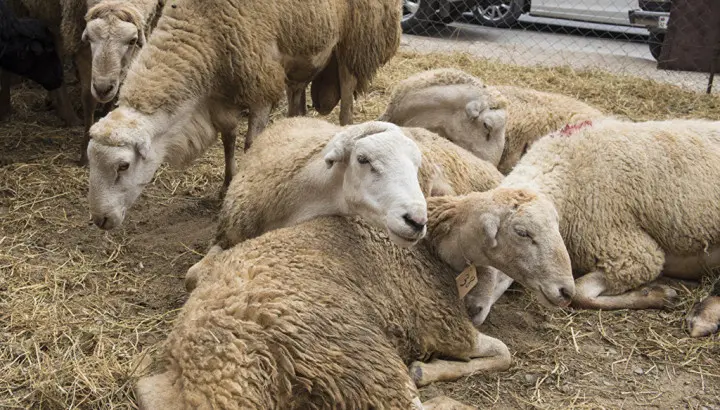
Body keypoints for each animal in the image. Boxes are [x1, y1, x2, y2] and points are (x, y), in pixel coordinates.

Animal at [86, 0, 400, 231]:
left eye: (123, 166)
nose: (101, 220)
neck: (203, 28)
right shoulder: (221, 96)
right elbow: (228, 138)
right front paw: (226, 185)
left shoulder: (259, 83)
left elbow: (251, 145)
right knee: (297, 103)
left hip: (354, 41)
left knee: (347, 96)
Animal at [132, 187, 576, 408]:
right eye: (523, 232)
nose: (566, 291)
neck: (430, 249)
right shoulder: (445, 327)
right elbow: (503, 352)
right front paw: (429, 370)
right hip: (358, 354)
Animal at [466, 116, 720, 336]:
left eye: (521, 234)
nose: (471, 309)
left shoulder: (634, 255)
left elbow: (579, 294)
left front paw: (657, 294)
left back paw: (703, 319)